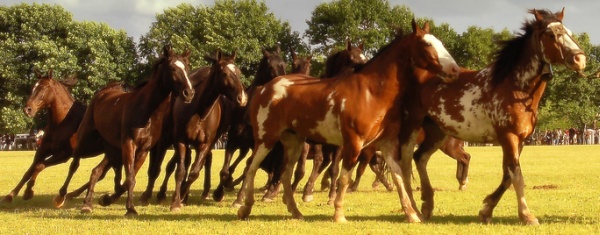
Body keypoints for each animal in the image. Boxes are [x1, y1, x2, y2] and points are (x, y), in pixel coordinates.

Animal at [52, 45, 195, 216]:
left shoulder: (143, 150)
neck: (147, 112)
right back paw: (61, 197)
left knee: (96, 171)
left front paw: (106, 199)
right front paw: (130, 208)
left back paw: (87, 204)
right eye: (173, 68)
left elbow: (128, 179)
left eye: (187, 67)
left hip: (112, 150)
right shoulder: (129, 145)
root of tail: (102, 93)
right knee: (74, 165)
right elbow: (130, 178)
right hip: (85, 139)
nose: (189, 93)